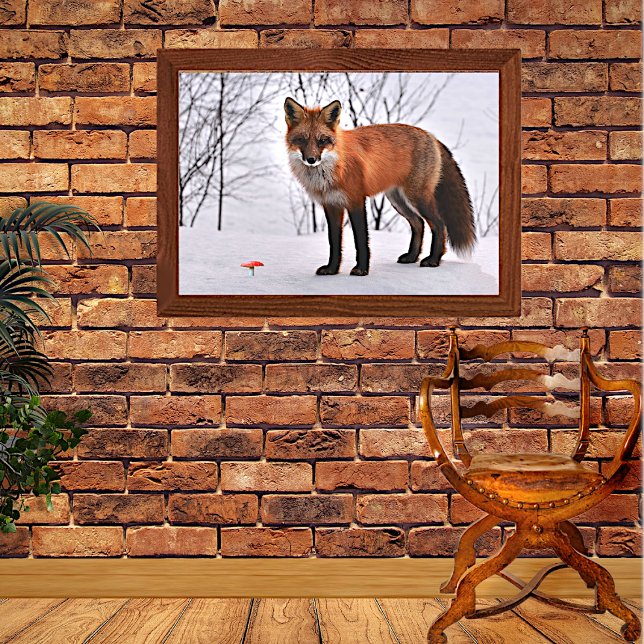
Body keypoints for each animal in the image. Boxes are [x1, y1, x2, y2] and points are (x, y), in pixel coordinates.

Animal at [284, 96, 476, 276]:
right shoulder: (331, 205)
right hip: (398, 200)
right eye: (302, 139)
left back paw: (434, 260)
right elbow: (334, 242)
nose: (311, 160)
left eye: (322, 140)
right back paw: (412, 257)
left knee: (439, 224)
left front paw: (361, 270)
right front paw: (332, 270)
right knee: (419, 224)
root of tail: (431, 136)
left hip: (417, 198)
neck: (333, 168)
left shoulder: (356, 201)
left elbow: (361, 240)